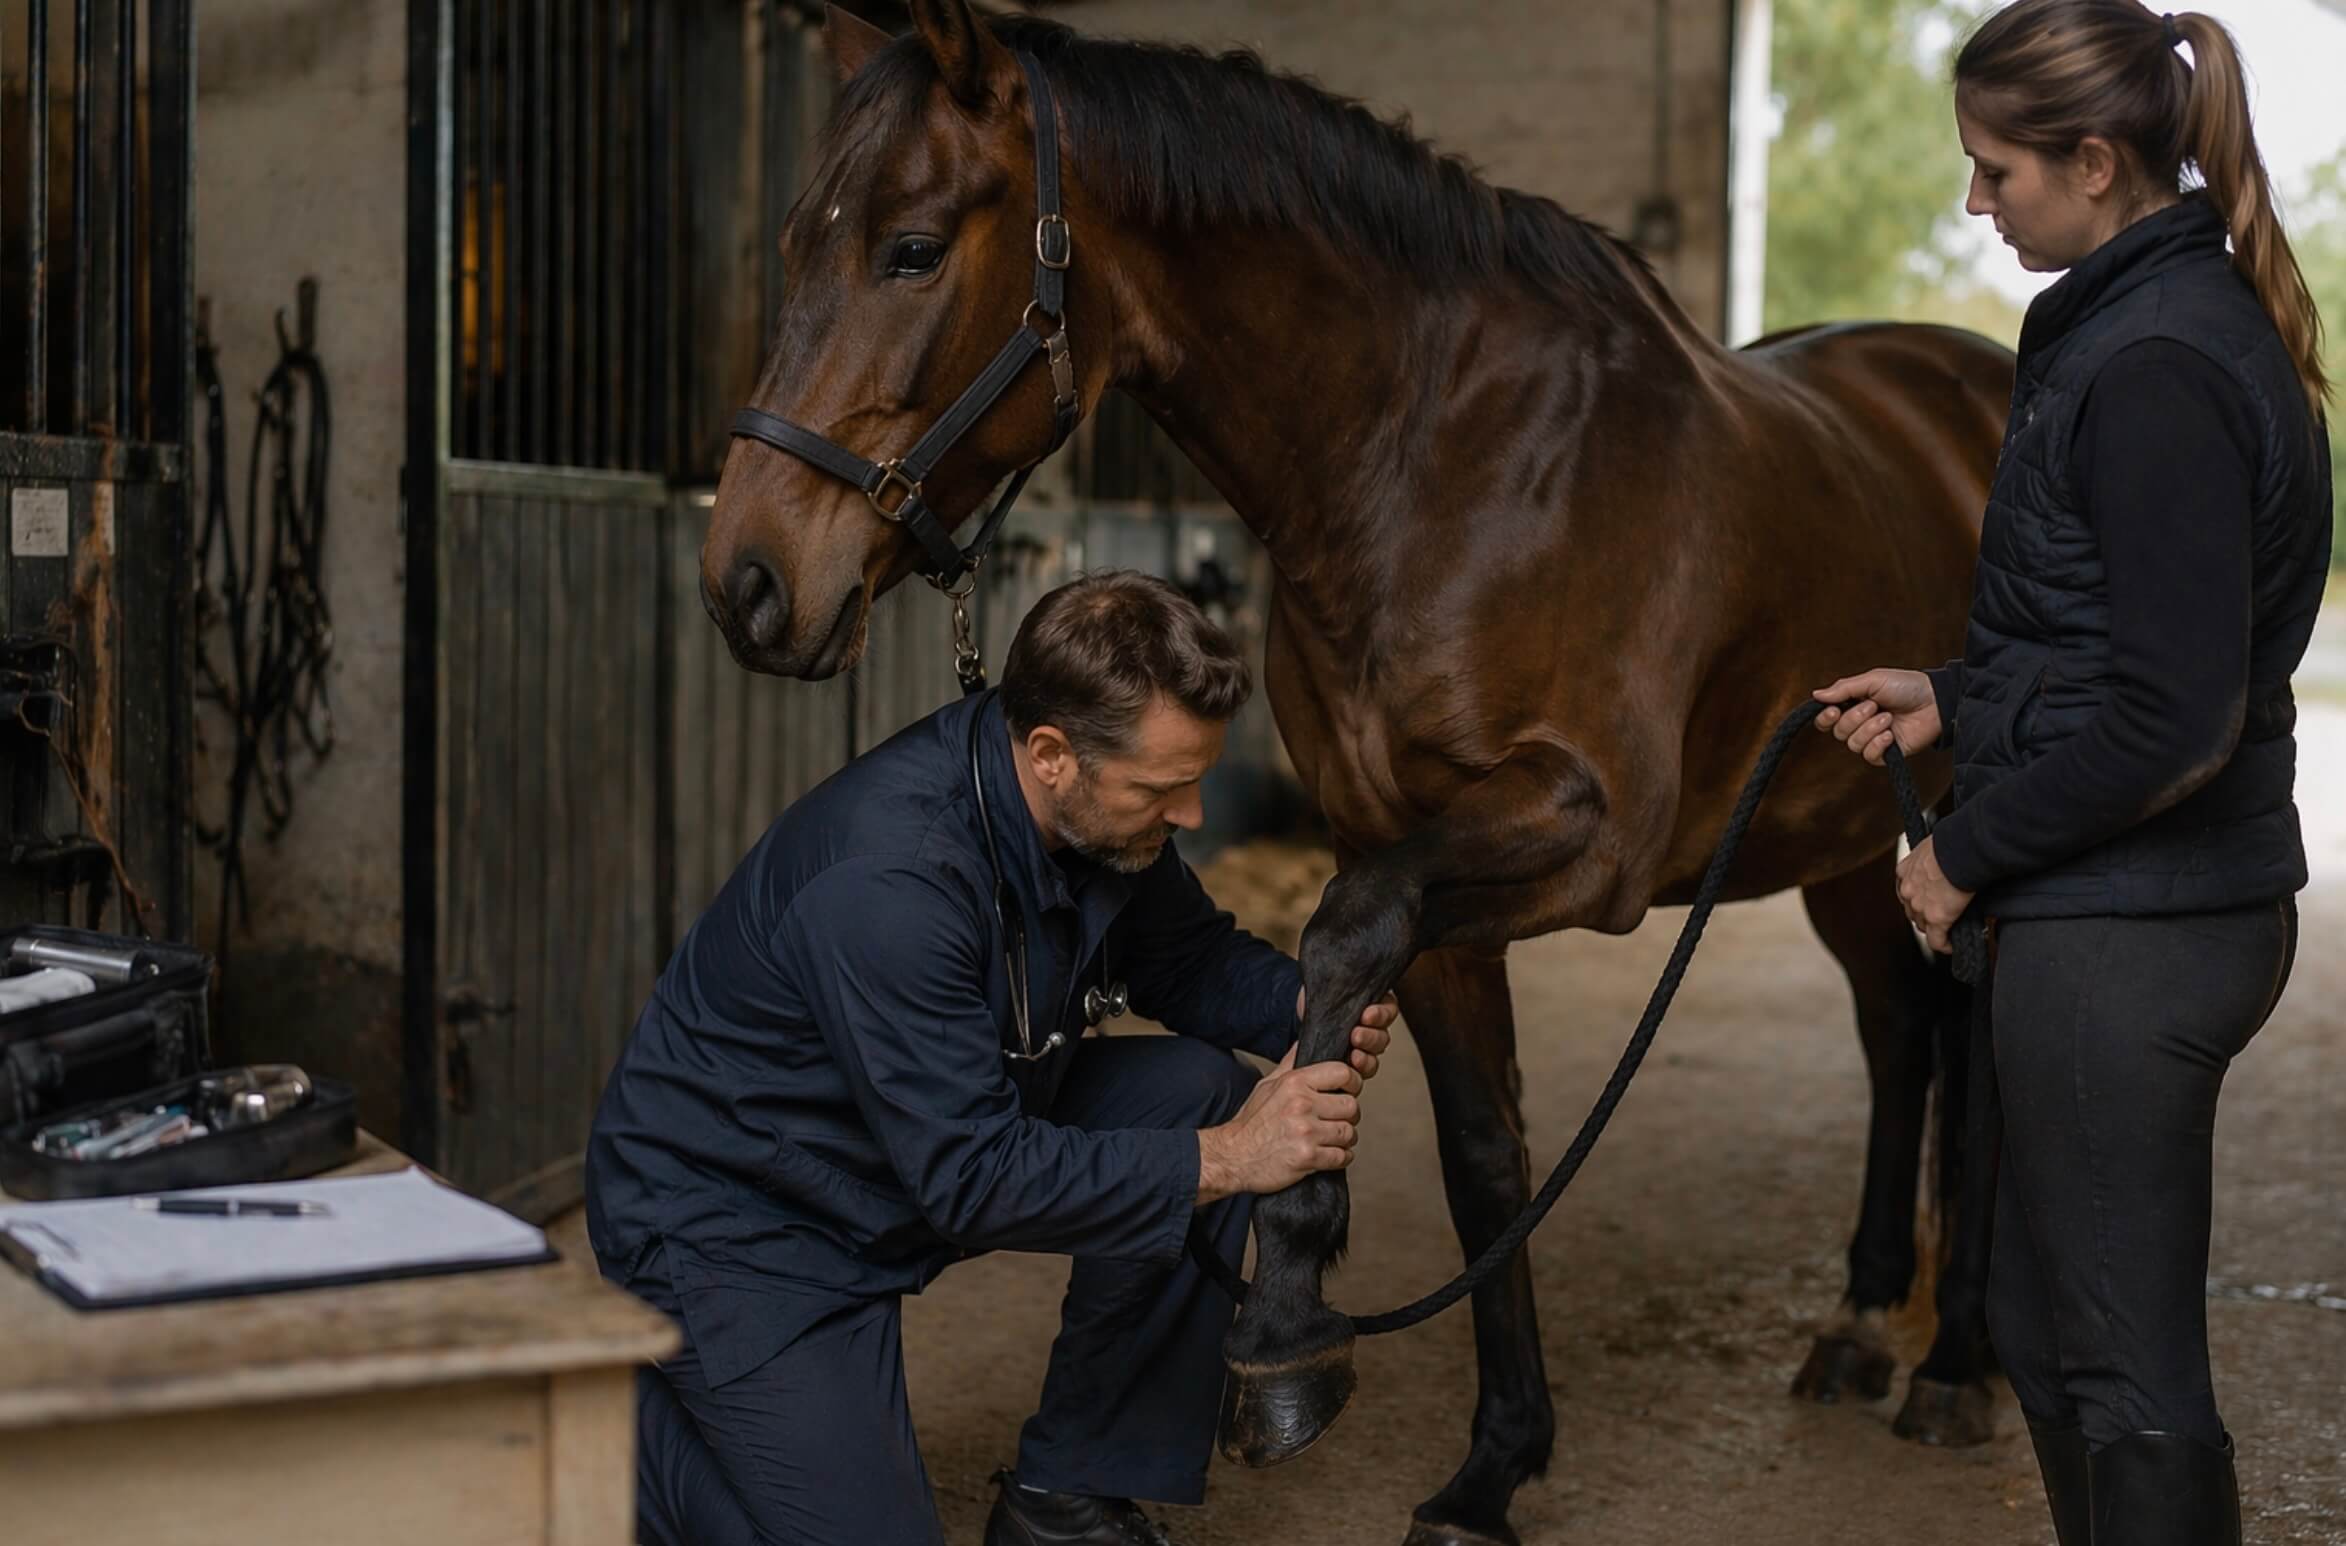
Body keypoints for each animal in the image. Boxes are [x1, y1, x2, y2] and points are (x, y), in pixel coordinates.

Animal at [703, 5, 2017, 1541]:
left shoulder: (1582, 835)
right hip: (1846, 844)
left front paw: (1282, 1322)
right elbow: (1481, 1154)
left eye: (909, 248)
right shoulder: (1412, 854)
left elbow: (1340, 940)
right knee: (1901, 1033)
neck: (1446, 467)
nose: (747, 581)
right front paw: (1493, 1462)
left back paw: (1958, 1366)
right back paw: (1863, 1324)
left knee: (1981, 1060)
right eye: (797, 242)